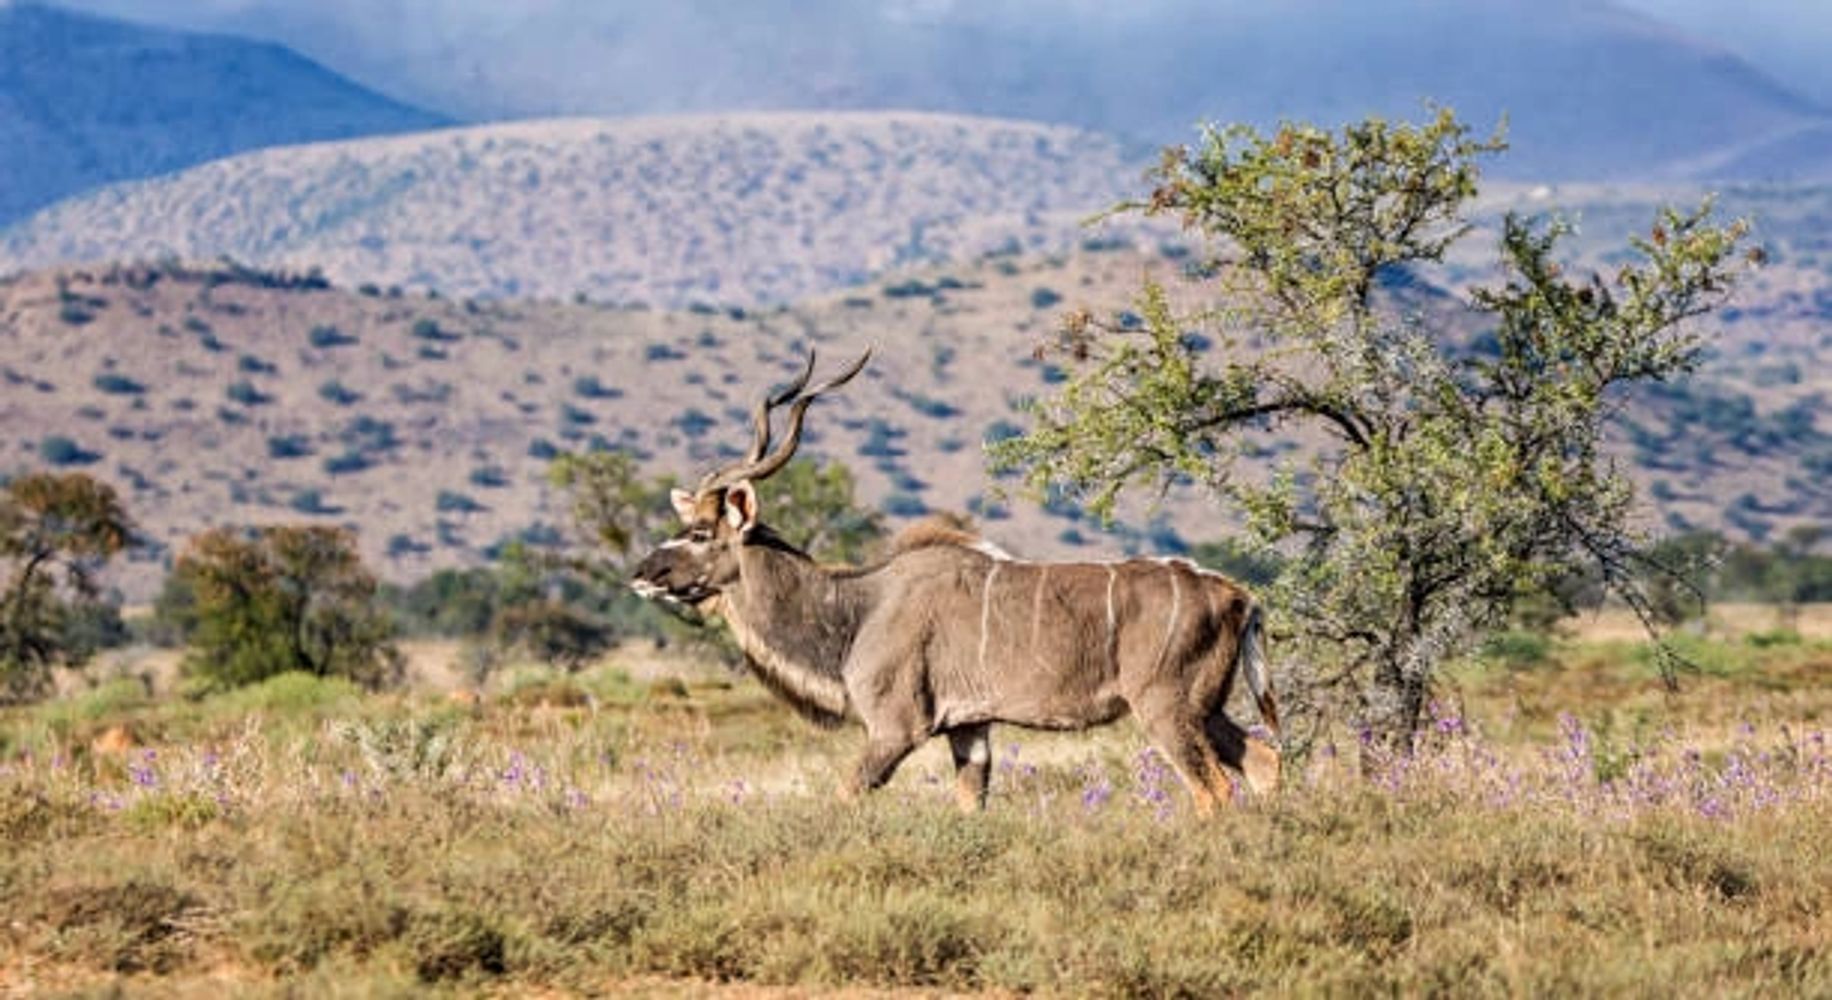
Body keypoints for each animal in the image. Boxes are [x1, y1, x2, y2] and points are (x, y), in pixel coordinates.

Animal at [631, 351, 1281, 815]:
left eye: (699, 533)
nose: (641, 575)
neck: (859, 608)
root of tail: (1240, 596)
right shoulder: (969, 728)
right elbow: (971, 804)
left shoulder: (895, 728)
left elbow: (845, 795)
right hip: (1205, 708)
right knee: (1264, 762)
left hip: (1166, 708)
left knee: (1214, 791)